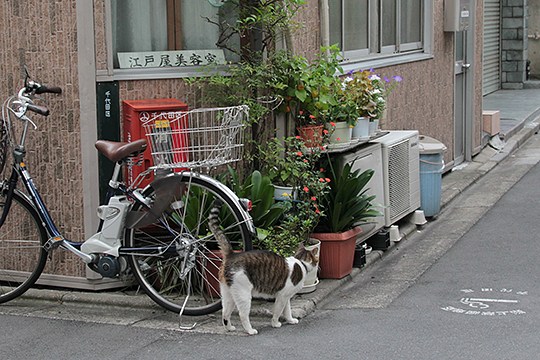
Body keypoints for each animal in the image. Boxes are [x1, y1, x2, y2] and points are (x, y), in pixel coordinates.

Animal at [210, 201, 320, 336]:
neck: (300, 262)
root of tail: (232, 255)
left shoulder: (286, 296)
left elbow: (287, 310)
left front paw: (290, 320)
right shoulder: (282, 296)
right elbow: (278, 311)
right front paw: (275, 323)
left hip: (228, 294)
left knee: (225, 313)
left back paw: (229, 328)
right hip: (243, 294)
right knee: (242, 314)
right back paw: (250, 330)